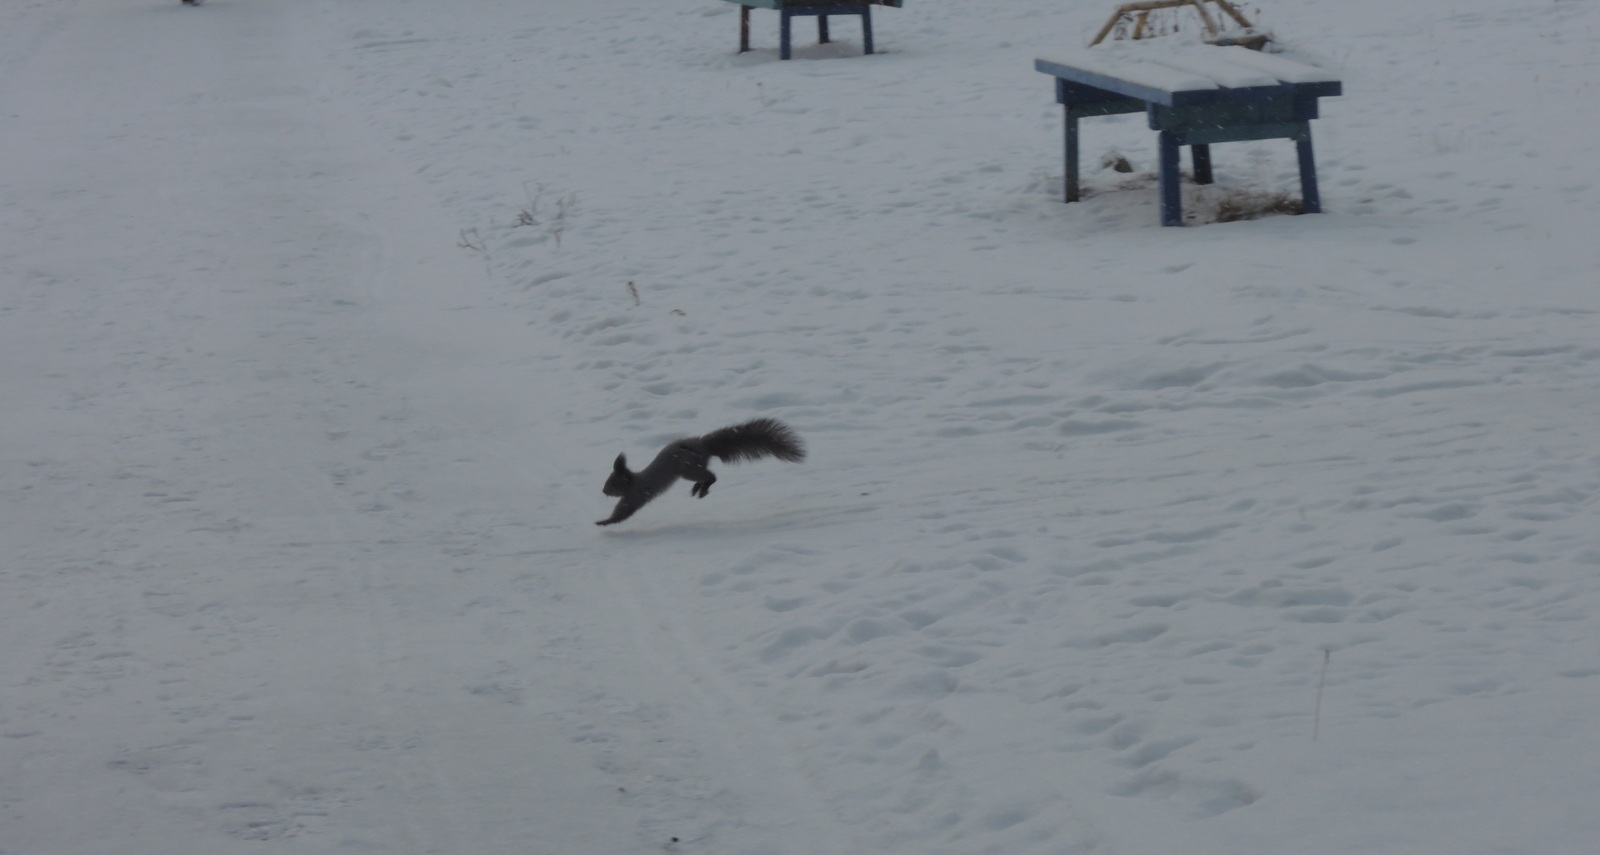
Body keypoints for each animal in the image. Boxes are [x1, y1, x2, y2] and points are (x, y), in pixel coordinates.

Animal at [598, 416, 806, 525]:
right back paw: (698, 489)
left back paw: (702, 489)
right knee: (707, 477)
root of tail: (704, 447)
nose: (603, 491)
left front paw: (603, 522)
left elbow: (622, 513)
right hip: (693, 469)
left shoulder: (635, 496)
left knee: (712, 476)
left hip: (688, 469)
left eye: (612, 483)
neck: (634, 481)